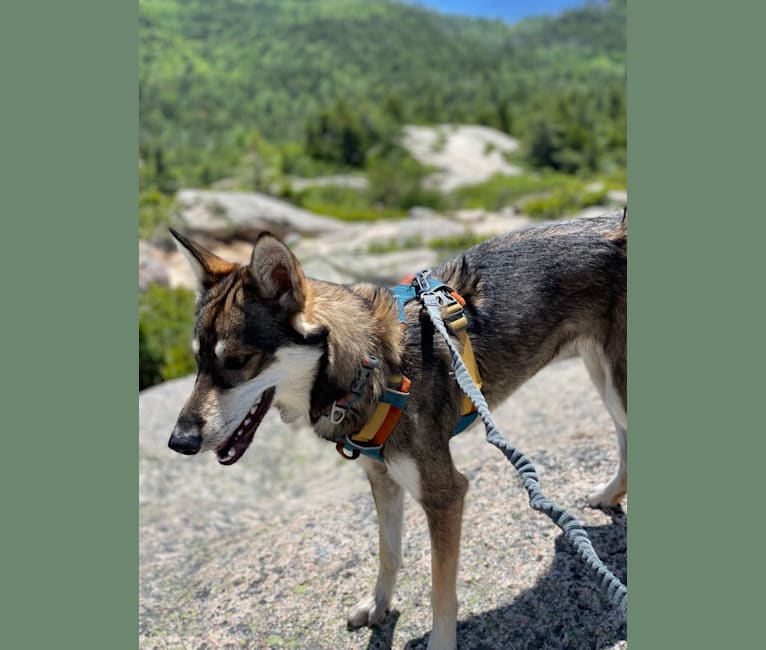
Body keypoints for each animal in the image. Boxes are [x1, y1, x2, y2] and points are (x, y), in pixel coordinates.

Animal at [170, 210, 632, 644]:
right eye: (198, 362)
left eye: (238, 361)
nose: (179, 441)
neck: (366, 365)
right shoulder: (381, 476)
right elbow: (388, 552)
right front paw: (379, 606)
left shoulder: (445, 494)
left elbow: (440, 592)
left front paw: (440, 643)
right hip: (603, 377)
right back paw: (610, 495)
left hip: (615, 384)